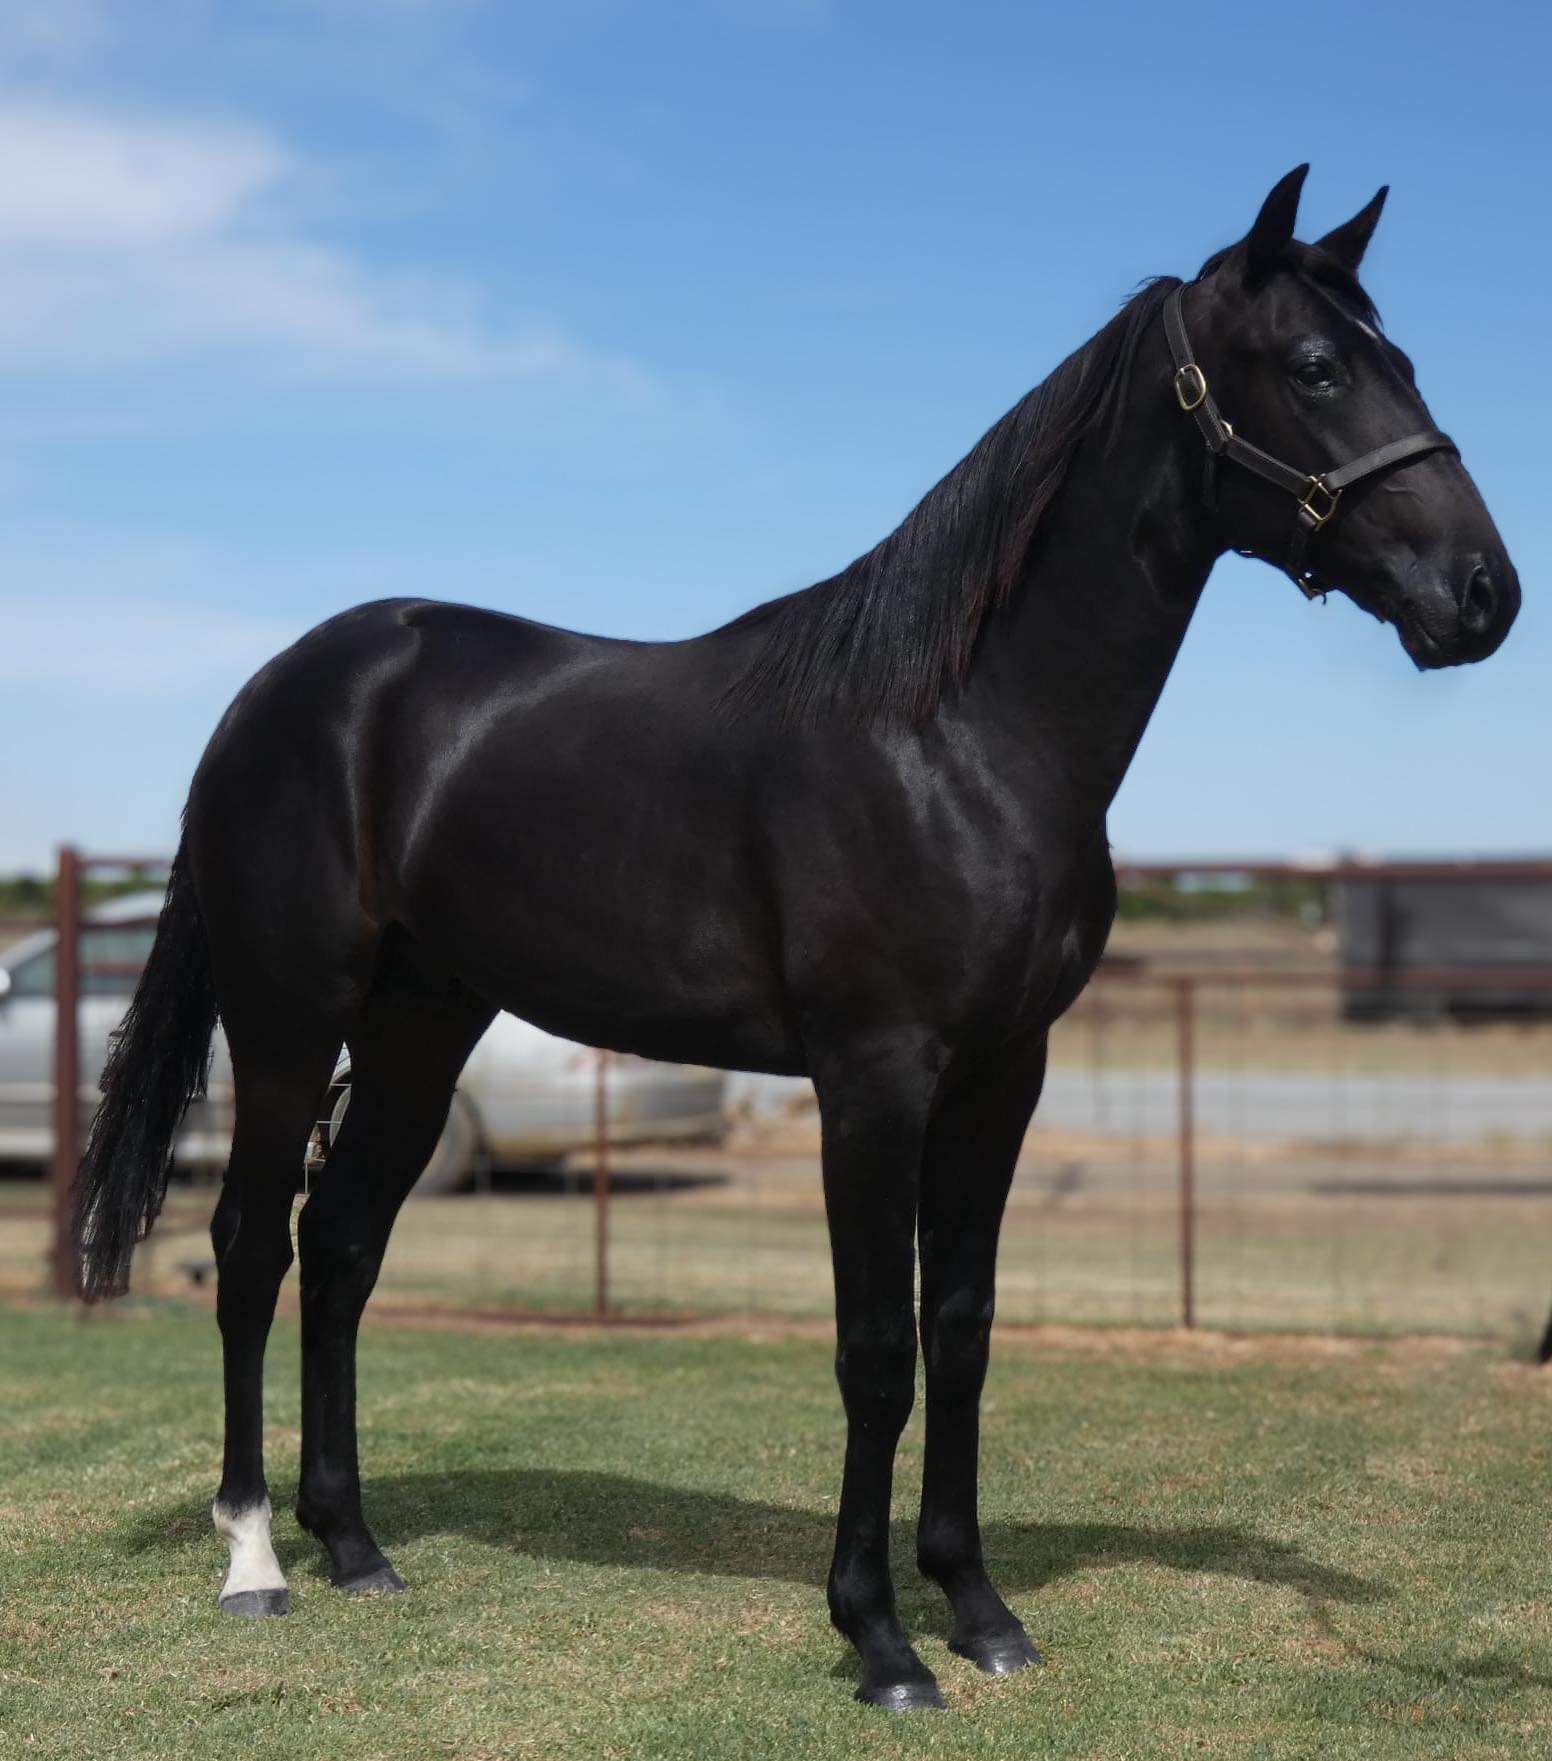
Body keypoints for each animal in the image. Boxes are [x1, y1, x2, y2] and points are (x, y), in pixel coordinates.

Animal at [72, 166, 1519, 1710]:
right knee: (247, 1246)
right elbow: (876, 1349)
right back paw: (254, 1559)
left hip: (419, 1024)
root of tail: (278, 689)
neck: (961, 736)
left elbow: (964, 1328)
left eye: (1401, 360)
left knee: (342, 1242)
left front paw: (981, 1610)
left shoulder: (1003, 1076)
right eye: (1315, 368)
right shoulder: (872, 1078)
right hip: (289, 1020)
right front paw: (881, 1640)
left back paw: (355, 1547)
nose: (1483, 594)